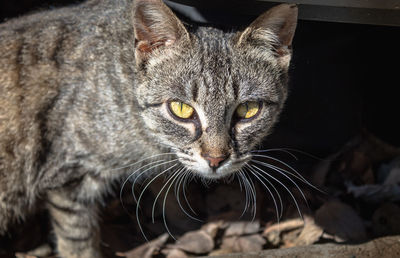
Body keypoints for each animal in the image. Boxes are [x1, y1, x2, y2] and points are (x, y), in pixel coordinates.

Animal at [0, 0, 296, 256]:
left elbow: (167, 185)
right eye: (181, 108)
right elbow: (78, 242)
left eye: (248, 110)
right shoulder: (70, 177)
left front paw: (187, 223)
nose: (215, 159)